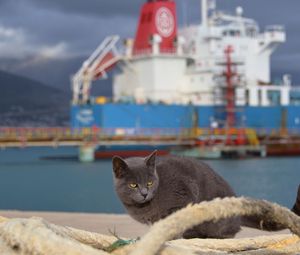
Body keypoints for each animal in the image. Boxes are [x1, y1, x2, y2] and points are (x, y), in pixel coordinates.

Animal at [112, 150, 300, 238]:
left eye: (150, 183)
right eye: (133, 185)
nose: (144, 193)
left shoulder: (185, 192)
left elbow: (176, 221)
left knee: (231, 230)